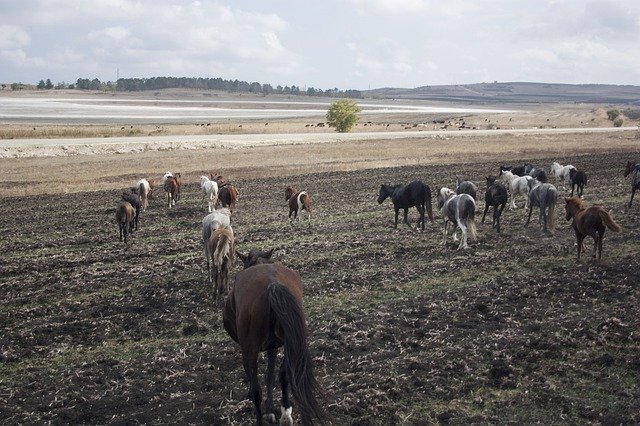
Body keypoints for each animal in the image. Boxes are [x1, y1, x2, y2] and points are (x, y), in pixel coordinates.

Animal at [224, 262, 328, 426]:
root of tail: (272, 284)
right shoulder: (273, 346)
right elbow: (271, 375)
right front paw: (271, 410)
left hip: (249, 350)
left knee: (256, 390)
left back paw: (260, 419)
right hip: (290, 343)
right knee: (284, 374)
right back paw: (285, 414)